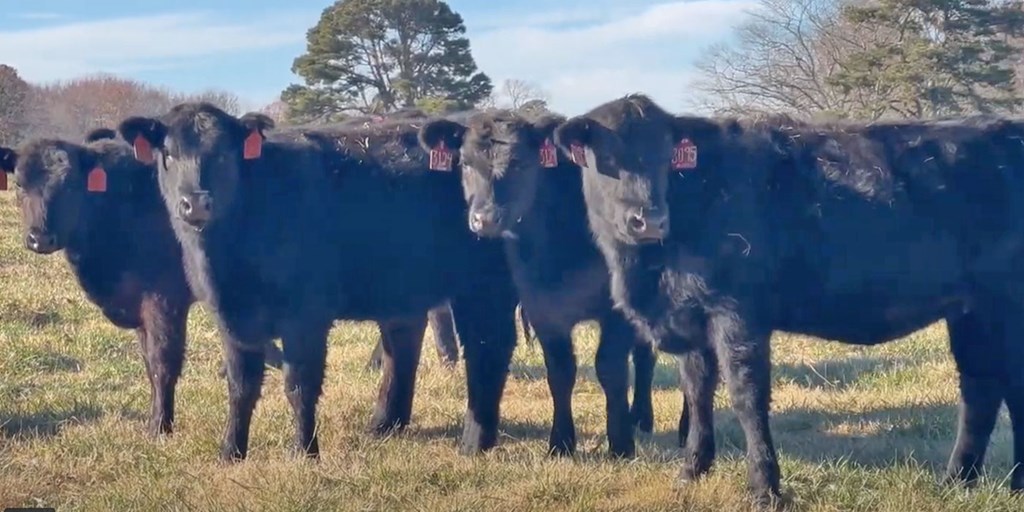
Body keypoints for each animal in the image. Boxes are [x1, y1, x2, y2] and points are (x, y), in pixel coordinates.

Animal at [118, 102, 520, 460]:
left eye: (222, 156)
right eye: (167, 154)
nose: (196, 203)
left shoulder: (305, 316)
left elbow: (299, 384)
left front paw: (305, 452)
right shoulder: (231, 318)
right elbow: (240, 386)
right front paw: (231, 452)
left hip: (486, 285)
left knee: (488, 348)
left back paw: (476, 441)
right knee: (404, 345)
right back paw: (385, 424)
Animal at [419, 111, 659, 456]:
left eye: (520, 163)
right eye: (465, 163)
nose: (483, 219)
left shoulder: (617, 313)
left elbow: (610, 368)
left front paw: (621, 443)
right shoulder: (544, 308)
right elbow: (560, 371)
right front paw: (561, 443)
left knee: (645, 355)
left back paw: (641, 417)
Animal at [557, 92, 1024, 503]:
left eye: (665, 157)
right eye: (608, 159)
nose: (650, 219)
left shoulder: (738, 314)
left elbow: (747, 397)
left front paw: (764, 487)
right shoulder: (692, 315)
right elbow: (698, 390)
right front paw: (691, 470)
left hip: (1005, 305)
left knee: (1006, 388)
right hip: (972, 311)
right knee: (982, 388)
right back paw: (961, 481)